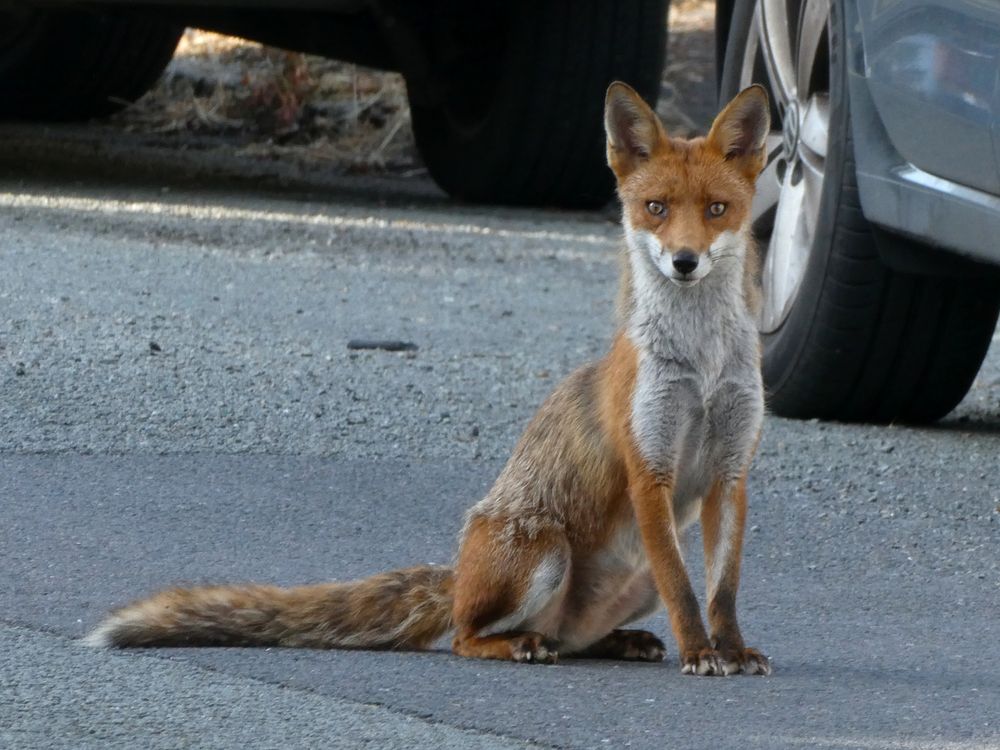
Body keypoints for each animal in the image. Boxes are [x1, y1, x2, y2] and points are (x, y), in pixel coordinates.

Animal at [85, 82, 772, 676]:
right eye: (656, 208)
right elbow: (686, 590)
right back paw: (515, 644)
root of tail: (459, 578)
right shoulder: (648, 469)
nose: (685, 261)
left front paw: (732, 650)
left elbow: (722, 589)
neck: (704, 365)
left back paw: (611, 641)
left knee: (571, 639)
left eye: (717, 210)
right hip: (544, 549)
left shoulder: (730, 473)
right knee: (470, 636)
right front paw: (700, 653)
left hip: (626, 581)